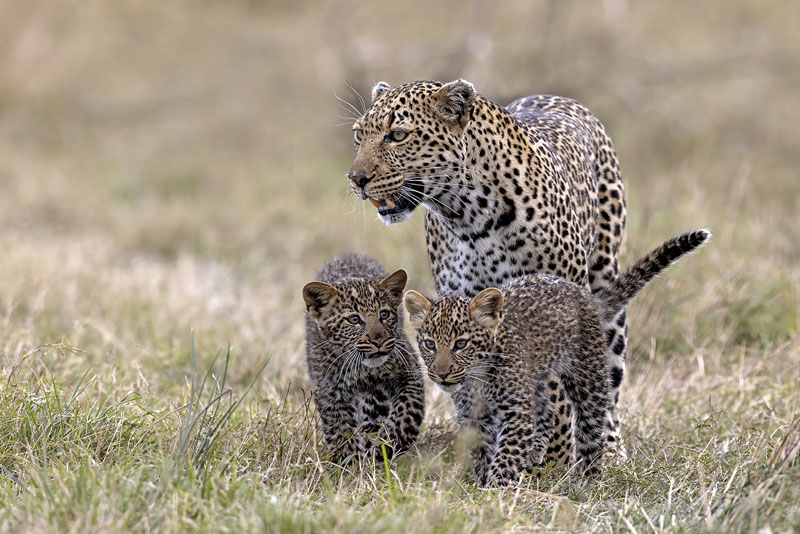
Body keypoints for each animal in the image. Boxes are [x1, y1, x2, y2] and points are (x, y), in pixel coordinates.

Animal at [302, 253, 425, 463]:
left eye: (384, 314)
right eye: (354, 320)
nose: (379, 341)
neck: (362, 369)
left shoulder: (410, 373)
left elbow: (406, 412)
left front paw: (387, 445)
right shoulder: (329, 392)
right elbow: (339, 429)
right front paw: (350, 463)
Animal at [346, 78, 628, 461]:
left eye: (398, 135)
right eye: (360, 135)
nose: (356, 179)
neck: (470, 218)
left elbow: (555, 393)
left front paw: (552, 457)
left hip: (605, 280)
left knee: (607, 382)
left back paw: (607, 448)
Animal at [403, 230, 710, 486]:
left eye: (461, 344)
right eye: (429, 344)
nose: (442, 374)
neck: (475, 378)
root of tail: (585, 295)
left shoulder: (516, 410)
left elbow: (506, 455)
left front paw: (496, 491)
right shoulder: (472, 415)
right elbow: (481, 451)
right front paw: (481, 482)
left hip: (588, 376)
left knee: (590, 428)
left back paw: (587, 479)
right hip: (537, 378)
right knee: (548, 411)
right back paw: (539, 453)